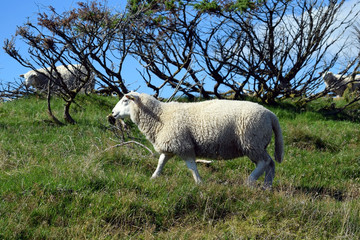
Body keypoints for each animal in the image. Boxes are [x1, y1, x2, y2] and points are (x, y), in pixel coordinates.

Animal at [110, 92, 284, 188]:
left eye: (125, 101)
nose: (112, 113)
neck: (161, 116)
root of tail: (271, 114)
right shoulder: (170, 145)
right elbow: (161, 163)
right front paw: (153, 178)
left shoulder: (183, 145)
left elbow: (191, 166)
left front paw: (199, 182)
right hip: (257, 144)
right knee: (270, 163)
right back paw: (267, 186)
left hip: (252, 142)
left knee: (264, 162)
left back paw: (250, 181)